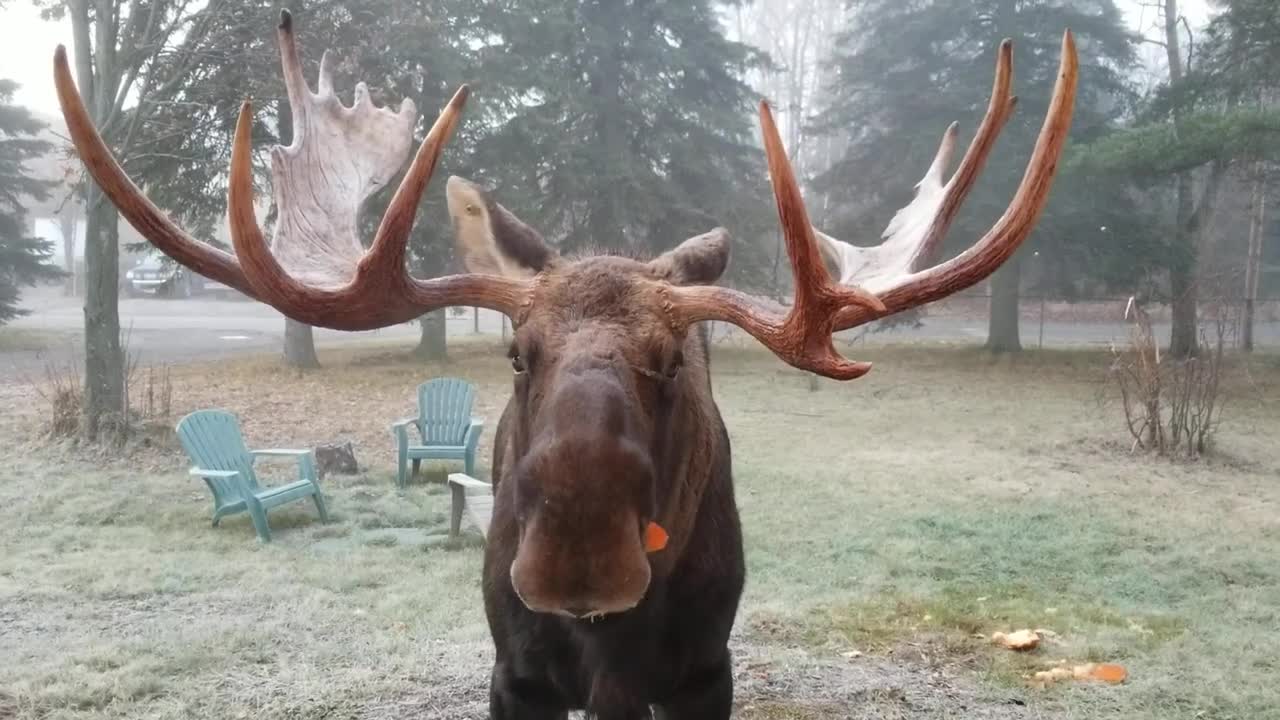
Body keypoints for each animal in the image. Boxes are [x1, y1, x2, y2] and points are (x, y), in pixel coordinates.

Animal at [49, 12, 1075, 717]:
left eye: (672, 361)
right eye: (516, 353)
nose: (577, 545)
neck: (603, 647)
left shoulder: (701, 673)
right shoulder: (515, 676)